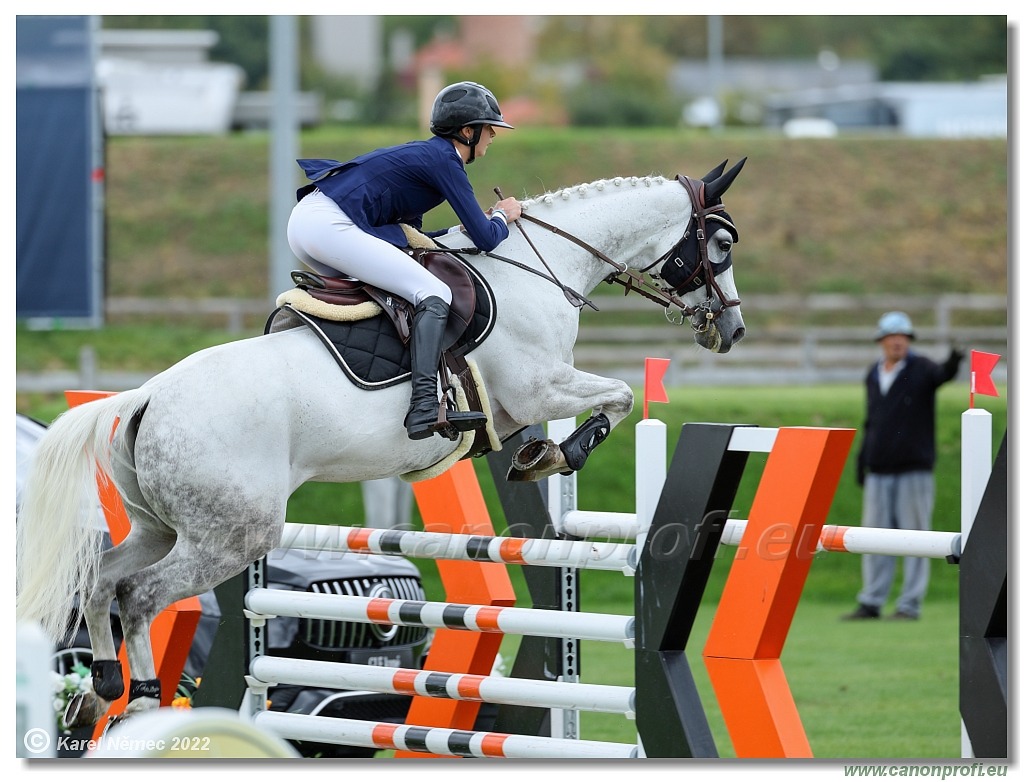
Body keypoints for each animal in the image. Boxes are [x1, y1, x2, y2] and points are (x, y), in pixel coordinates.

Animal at [19, 158, 749, 728]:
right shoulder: (540, 388)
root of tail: (145, 398)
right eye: (718, 244)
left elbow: (577, 412)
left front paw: (535, 455)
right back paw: (141, 700)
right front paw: (558, 454)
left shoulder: (520, 403)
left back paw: (100, 691)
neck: (538, 268)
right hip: (231, 535)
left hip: (164, 528)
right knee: (139, 595)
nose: (733, 331)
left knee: (102, 580)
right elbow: (619, 396)